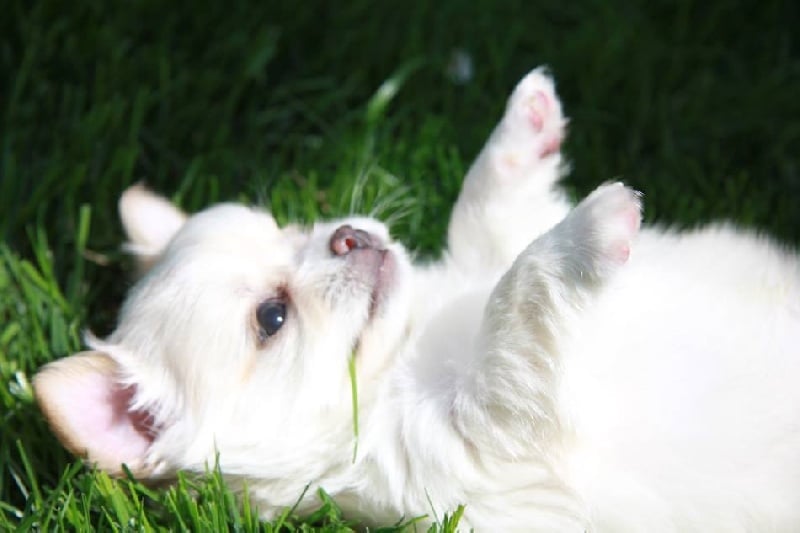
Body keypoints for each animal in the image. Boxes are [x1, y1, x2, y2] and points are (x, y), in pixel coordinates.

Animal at [34, 68, 800, 531]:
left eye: (292, 229)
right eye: (271, 318)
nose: (347, 235)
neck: (409, 346)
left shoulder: (482, 259)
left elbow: (490, 224)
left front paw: (521, 132)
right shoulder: (490, 429)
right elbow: (516, 299)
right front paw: (592, 227)